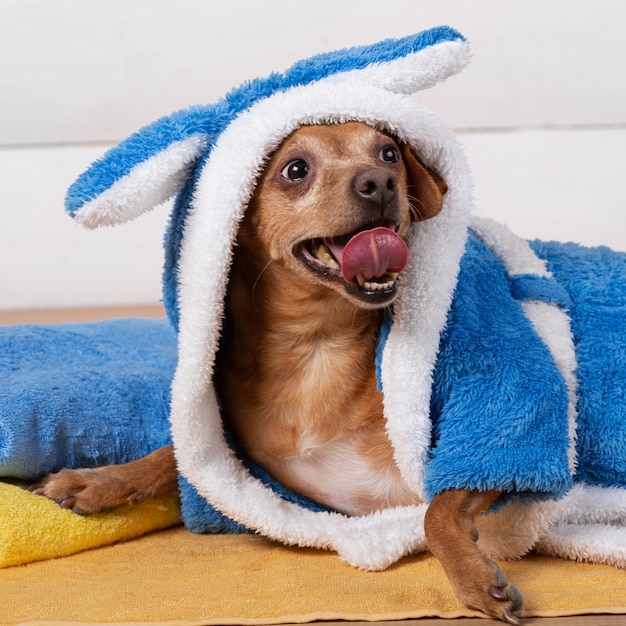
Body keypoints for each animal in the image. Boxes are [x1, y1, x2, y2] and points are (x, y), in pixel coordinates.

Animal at [31, 122, 520, 624]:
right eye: (295, 169)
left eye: (389, 154)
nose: (381, 182)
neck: (316, 348)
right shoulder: (228, 449)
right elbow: (175, 454)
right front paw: (100, 480)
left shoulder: (492, 443)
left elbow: (438, 508)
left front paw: (471, 575)